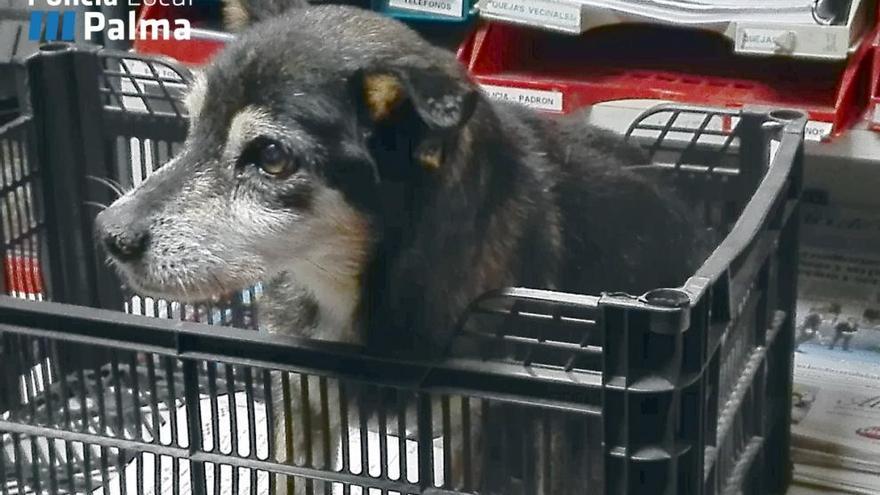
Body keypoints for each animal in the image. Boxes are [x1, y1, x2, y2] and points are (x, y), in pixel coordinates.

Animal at [96, 2, 712, 492]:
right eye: (192, 127)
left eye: (271, 157)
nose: (109, 233)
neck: (351, 288)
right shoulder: (302, 409)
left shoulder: (491, 436)